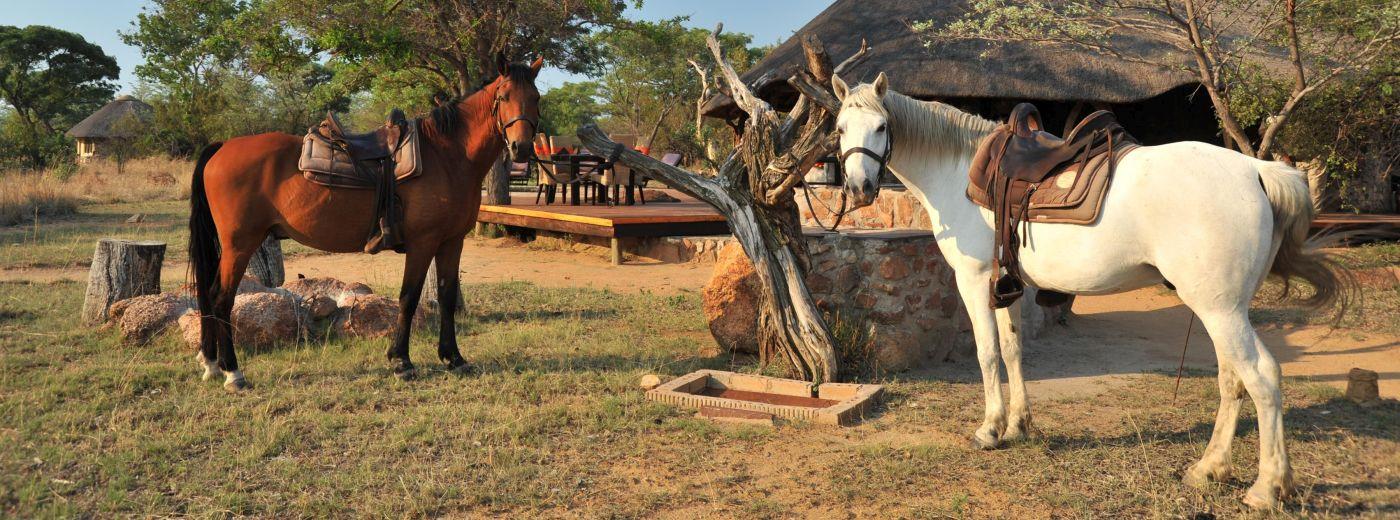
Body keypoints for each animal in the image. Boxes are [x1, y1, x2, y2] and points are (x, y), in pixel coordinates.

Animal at [194, 57, 543, 392]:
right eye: (504, 96)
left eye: (536, 98)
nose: (522, 148)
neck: (448, 156)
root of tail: (223, 146)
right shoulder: (423, 243)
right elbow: (408, 298)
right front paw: (401, 362)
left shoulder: (451, 241)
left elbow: (446, 297)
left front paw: (453, 357)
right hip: (240, 244)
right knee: (222, 298)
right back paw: (233, 372)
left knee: (210, 295)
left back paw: (212, 364)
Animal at [828, 73, 1344, 510]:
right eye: (839, 128)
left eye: (880, 126)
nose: (860, 187)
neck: (959, 171)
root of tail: (1257, 170)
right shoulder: (1010, 287)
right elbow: (1014, 351)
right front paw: (1019, 426)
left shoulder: (973, 280)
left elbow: (987, 354)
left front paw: (990, 429)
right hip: (1226, 310)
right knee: (1233, 379)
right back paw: (1209, 469)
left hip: (1220, 311)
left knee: (1261, 378)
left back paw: (1266, 487)